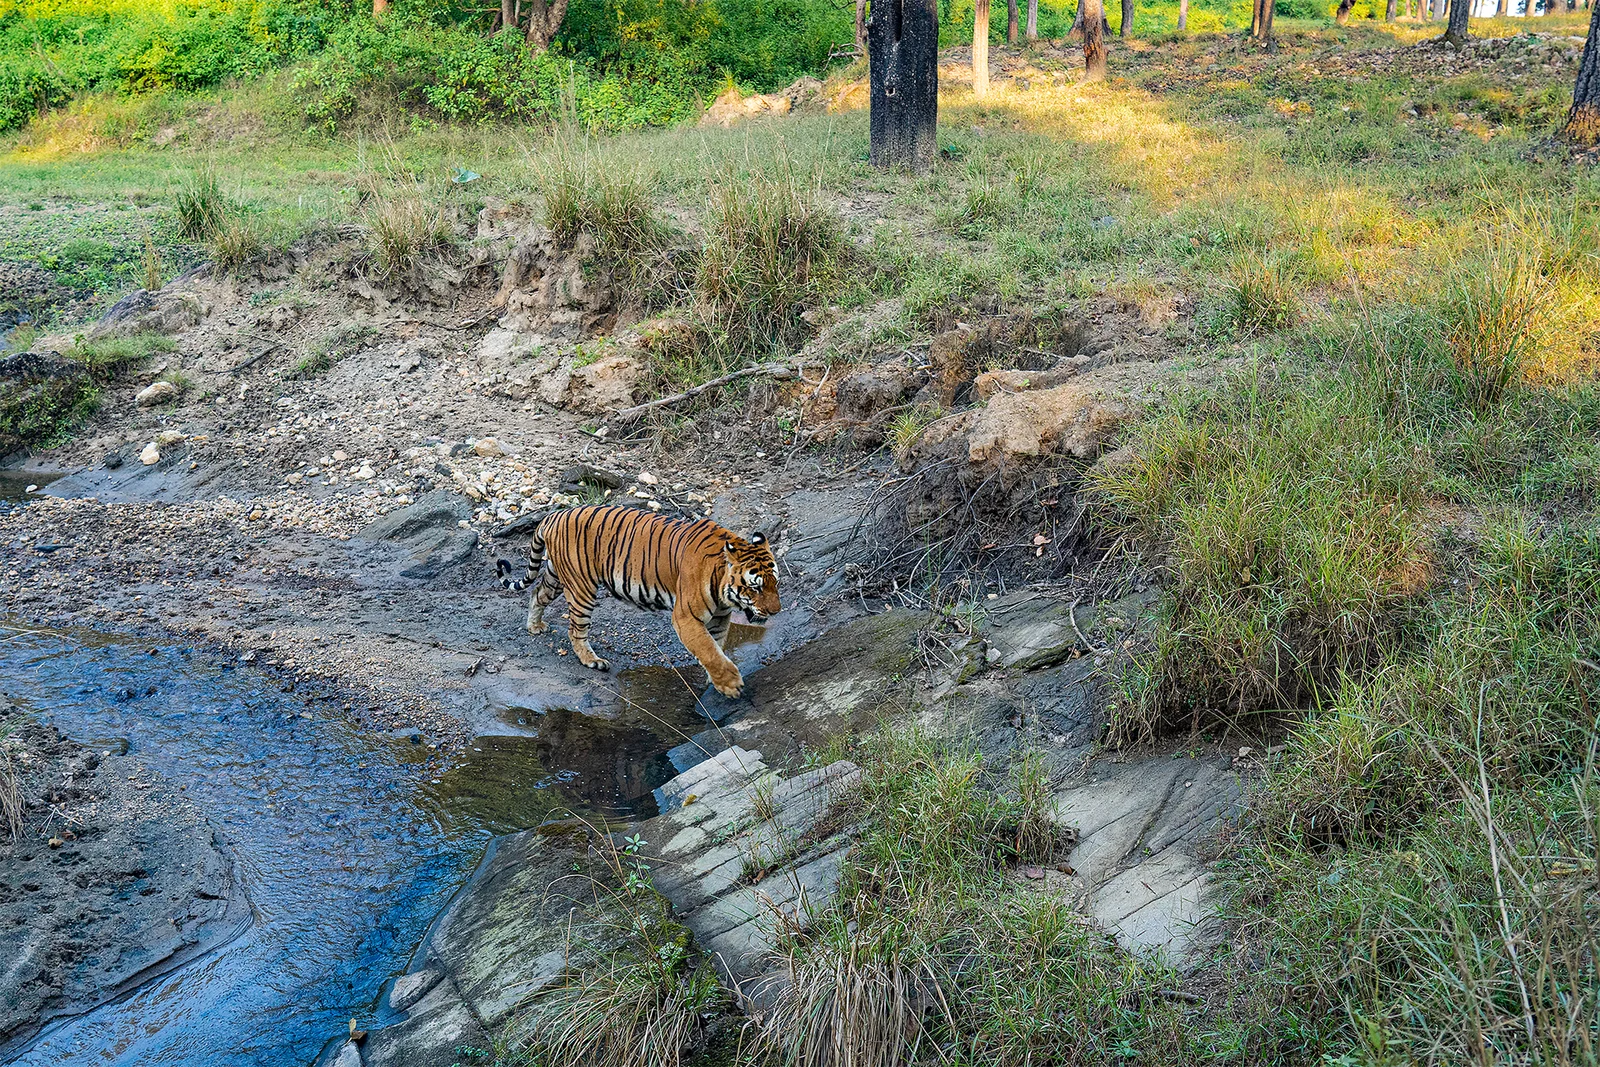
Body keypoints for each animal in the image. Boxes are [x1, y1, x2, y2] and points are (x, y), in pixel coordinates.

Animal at [496, 504, 780, 698]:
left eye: (775, 583)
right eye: (755, 587)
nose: (776, 611)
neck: (723, 590)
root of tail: (553, 516)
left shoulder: (720, 618)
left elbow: (717, 646)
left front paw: (717, 682)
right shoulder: (685, 617)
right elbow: (708, 650)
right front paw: (731, 685)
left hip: (557, 574)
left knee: (536, 593)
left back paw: (534, 626)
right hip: (581, 586)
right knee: (575, 629)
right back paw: (592, 661)